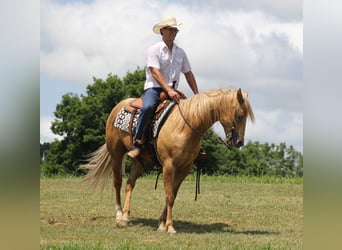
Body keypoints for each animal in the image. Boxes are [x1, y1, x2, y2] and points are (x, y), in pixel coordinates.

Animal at [81, 87, 255, 234]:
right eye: (239, 115)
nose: (239, 142)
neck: (185, 126)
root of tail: (118, 106)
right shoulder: (168, 165)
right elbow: (169, 195)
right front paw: (170, 227)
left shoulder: (184, 169)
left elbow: (172, 194)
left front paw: (162, 224)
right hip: (116, 153)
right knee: (117, 182)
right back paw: (118, 215)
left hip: (139, 161)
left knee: (129, 184)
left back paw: (125, 217)